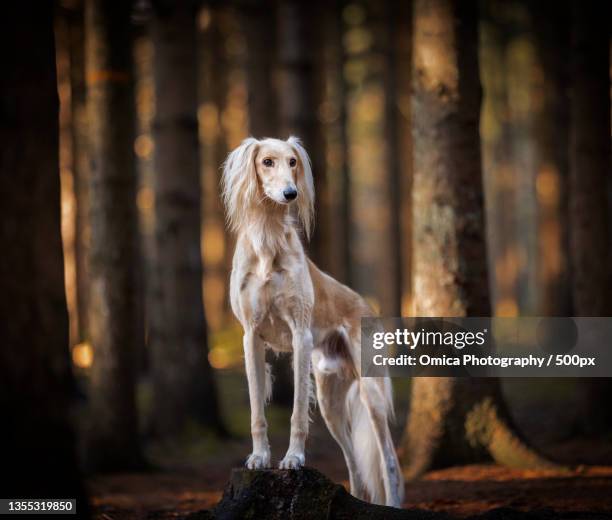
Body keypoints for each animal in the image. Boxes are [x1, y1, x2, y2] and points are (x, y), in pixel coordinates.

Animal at [222, 136, 404, 506]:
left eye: (293, 161)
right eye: (267, 161)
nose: (290, 193)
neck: (268, 240)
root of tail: (365, 303)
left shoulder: (300, 335)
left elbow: (295, 412)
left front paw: (293, 458)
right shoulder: (251, 337)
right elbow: (256, 410)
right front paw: (259, 457)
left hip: (371, 392)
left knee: (389, 460)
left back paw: (394, 502)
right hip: (329, 398)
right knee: (354, 463)